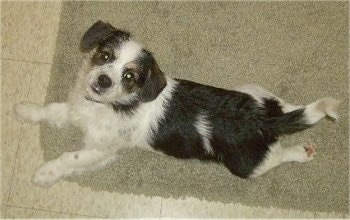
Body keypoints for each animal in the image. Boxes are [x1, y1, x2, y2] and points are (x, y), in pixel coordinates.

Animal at [14, 21, 340, 188]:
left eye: (130, 76)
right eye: (105, 55)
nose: (103, 81)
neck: (109, 104)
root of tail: (262, 120)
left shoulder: (101, 149)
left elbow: (70, 158)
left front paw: (44, 174)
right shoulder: (76, 110)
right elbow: (51, 110)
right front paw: (24, 109)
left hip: (247, 166)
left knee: (280, 156)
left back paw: (302, 152)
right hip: (252, 90)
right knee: (288, 107)